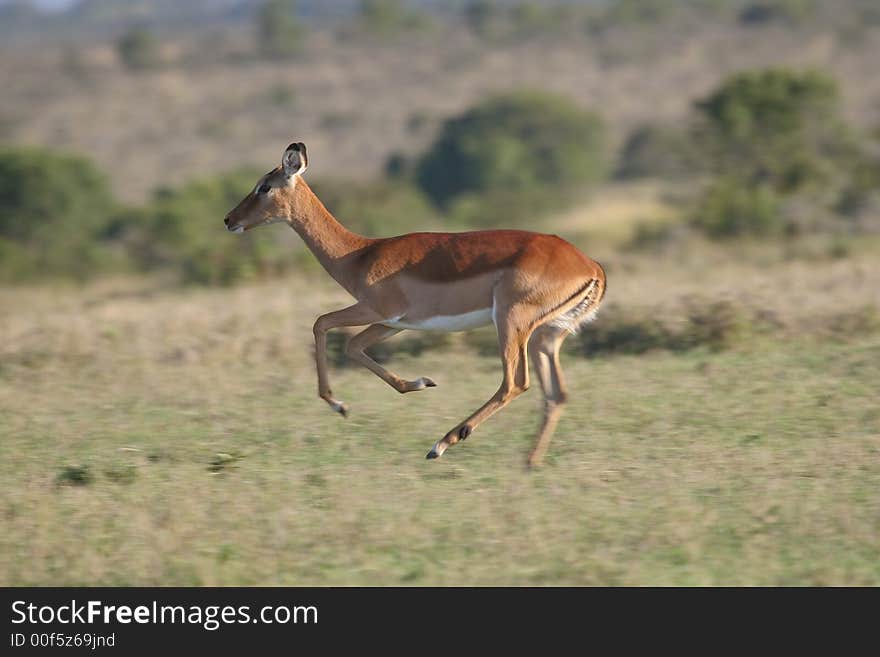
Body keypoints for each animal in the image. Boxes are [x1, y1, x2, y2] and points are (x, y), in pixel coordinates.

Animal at [223, 141, 604, 464]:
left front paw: (338, 405)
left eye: (264, 186)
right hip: (545, 335)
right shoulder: (392, 324)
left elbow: (321, 323)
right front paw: (420, 383)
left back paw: (442, 444)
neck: (359, 254)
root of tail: (590, 266)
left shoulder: (376, 310)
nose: (229, 220)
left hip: (511, 323)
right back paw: (529, 462)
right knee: (556, 393)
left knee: (515, 383)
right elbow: (353, 347)